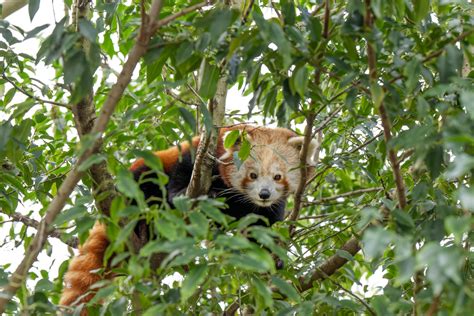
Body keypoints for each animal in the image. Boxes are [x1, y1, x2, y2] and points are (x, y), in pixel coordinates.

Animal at [58, 124, 318, 312]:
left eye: (277, 177)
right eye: (252, 175)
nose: (264, 194)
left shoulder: (265, 209)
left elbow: (262, 226)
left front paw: (274, 255)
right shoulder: (204, 150)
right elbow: (183, 170)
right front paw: (182, 194)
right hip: (136, 180)